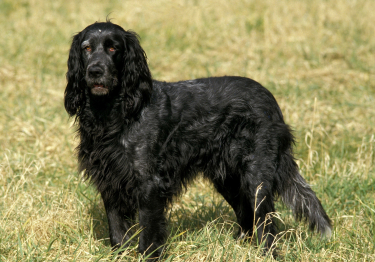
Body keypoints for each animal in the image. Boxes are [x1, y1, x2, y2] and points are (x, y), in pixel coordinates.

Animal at [64, 21, 332, 258]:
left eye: (113, 48)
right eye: (87, 48)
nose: (95, 71)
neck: (114, 113)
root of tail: (270, 99)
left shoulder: (149, 184)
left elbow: (149, 234)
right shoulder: (109, 180)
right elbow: (117, 232)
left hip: (256, 178)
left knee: (265, 224)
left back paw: (267, 254)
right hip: (228, 178)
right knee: (246, 217)